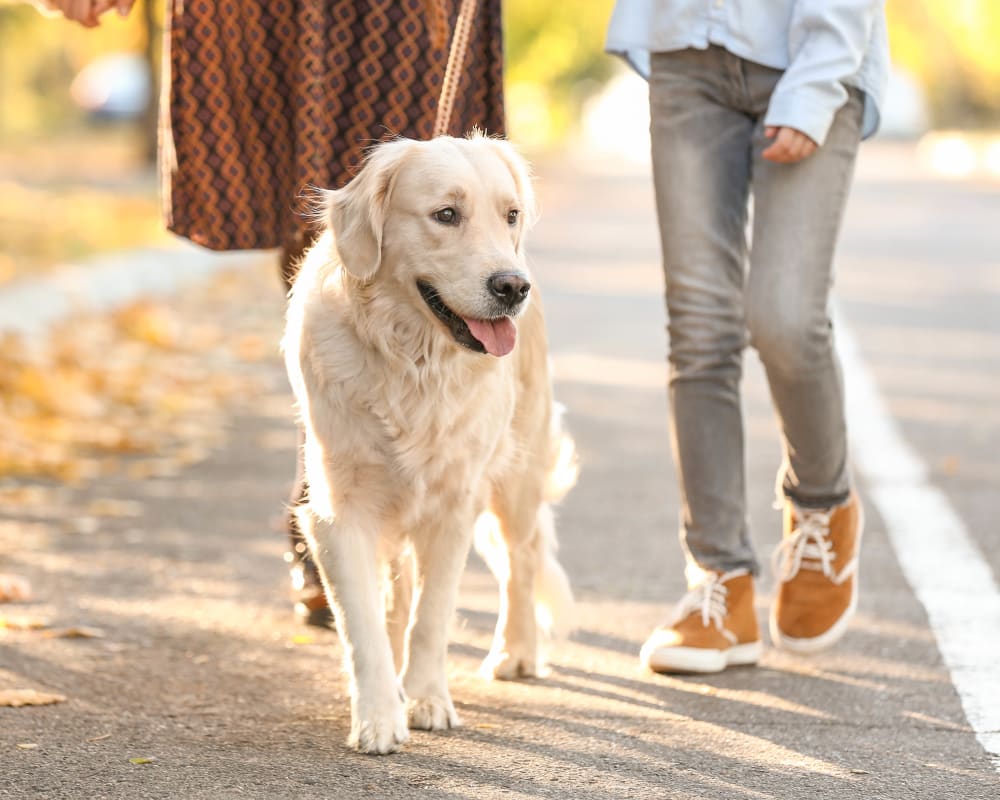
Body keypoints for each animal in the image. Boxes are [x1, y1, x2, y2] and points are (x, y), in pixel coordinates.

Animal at [286, 134, 576, 752]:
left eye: (510, 214)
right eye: (446, 215)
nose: (512, 287)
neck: (413, 360)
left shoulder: (453, 505)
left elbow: (432, 615)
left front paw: (426, 700)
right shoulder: (339, 513)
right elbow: (365, 625)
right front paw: (378, 715)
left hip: (516, 474)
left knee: (522, 558)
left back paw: (515, 652)